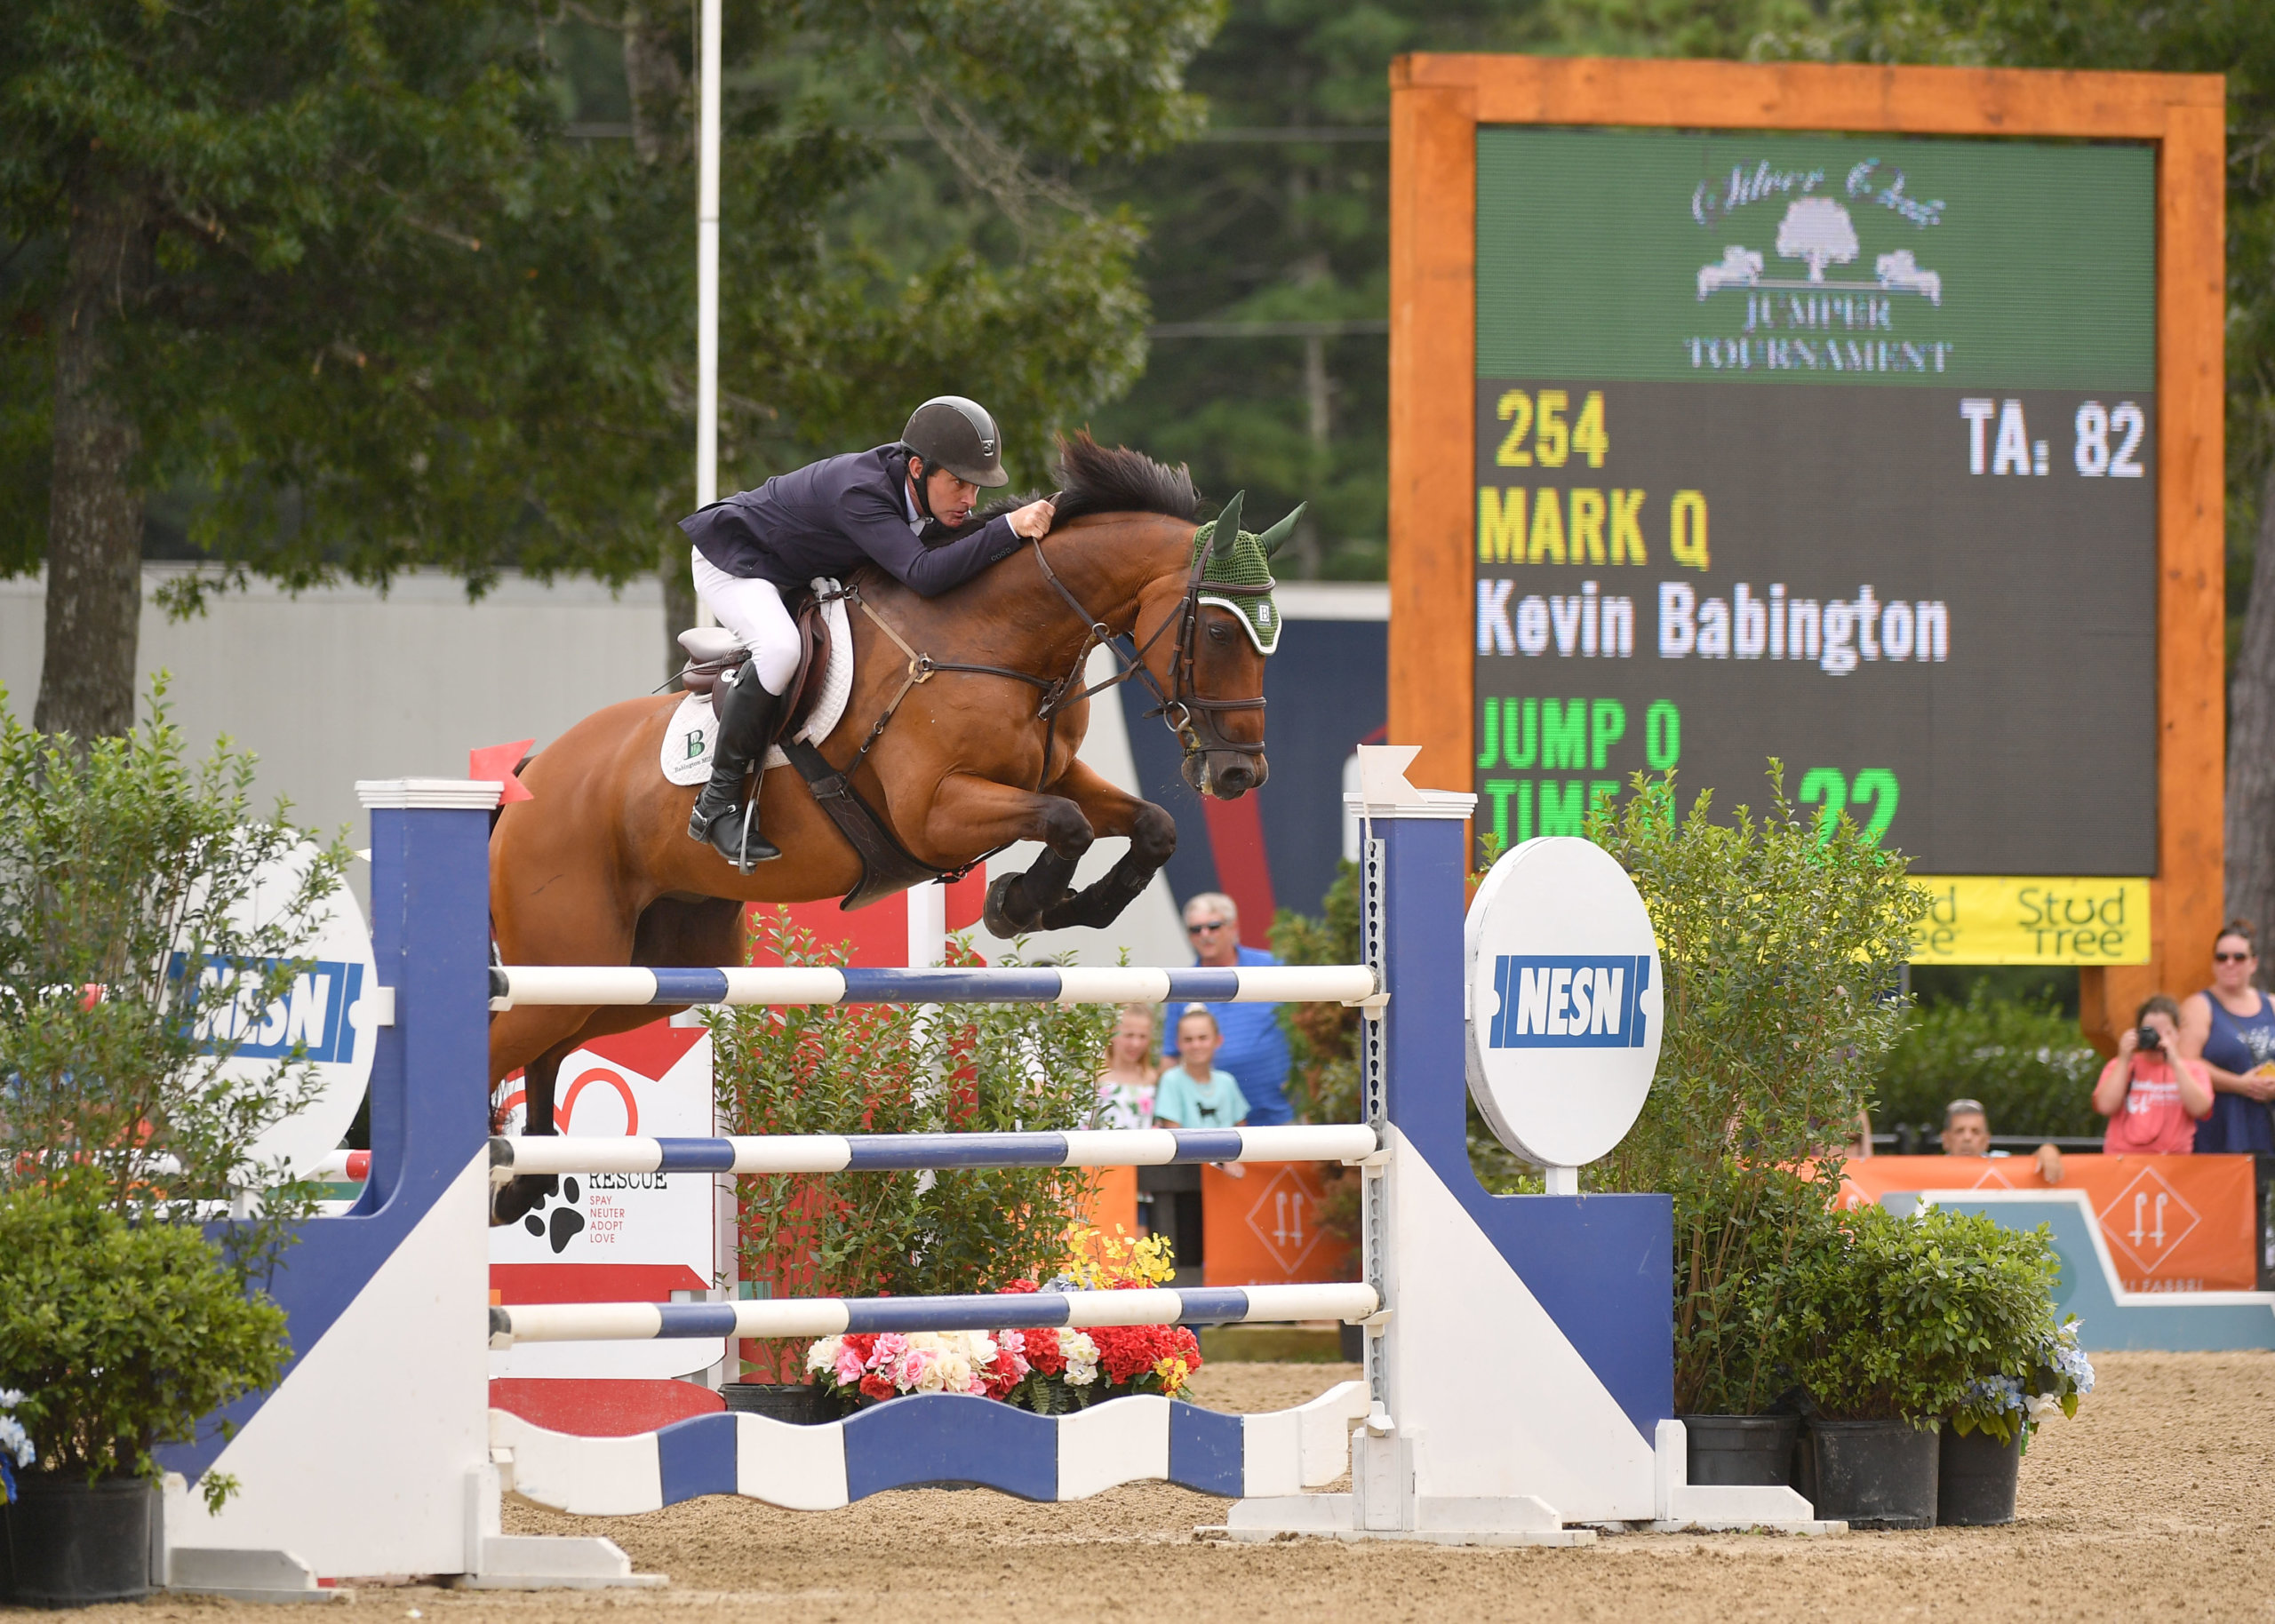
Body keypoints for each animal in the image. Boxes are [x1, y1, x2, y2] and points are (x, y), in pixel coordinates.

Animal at [491, 429, 1292, 1219]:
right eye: (1219, 631)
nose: (1240, 776)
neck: (1000, 637)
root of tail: (531, 778)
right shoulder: (933, 812)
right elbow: (1067, 827)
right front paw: (1017, 904)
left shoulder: (1050, 774)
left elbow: (1150, 827)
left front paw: (1069, 905)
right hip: (572, 954)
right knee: (513, 1036)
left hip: (648, 974)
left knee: (552, 1045)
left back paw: (526, 1180)